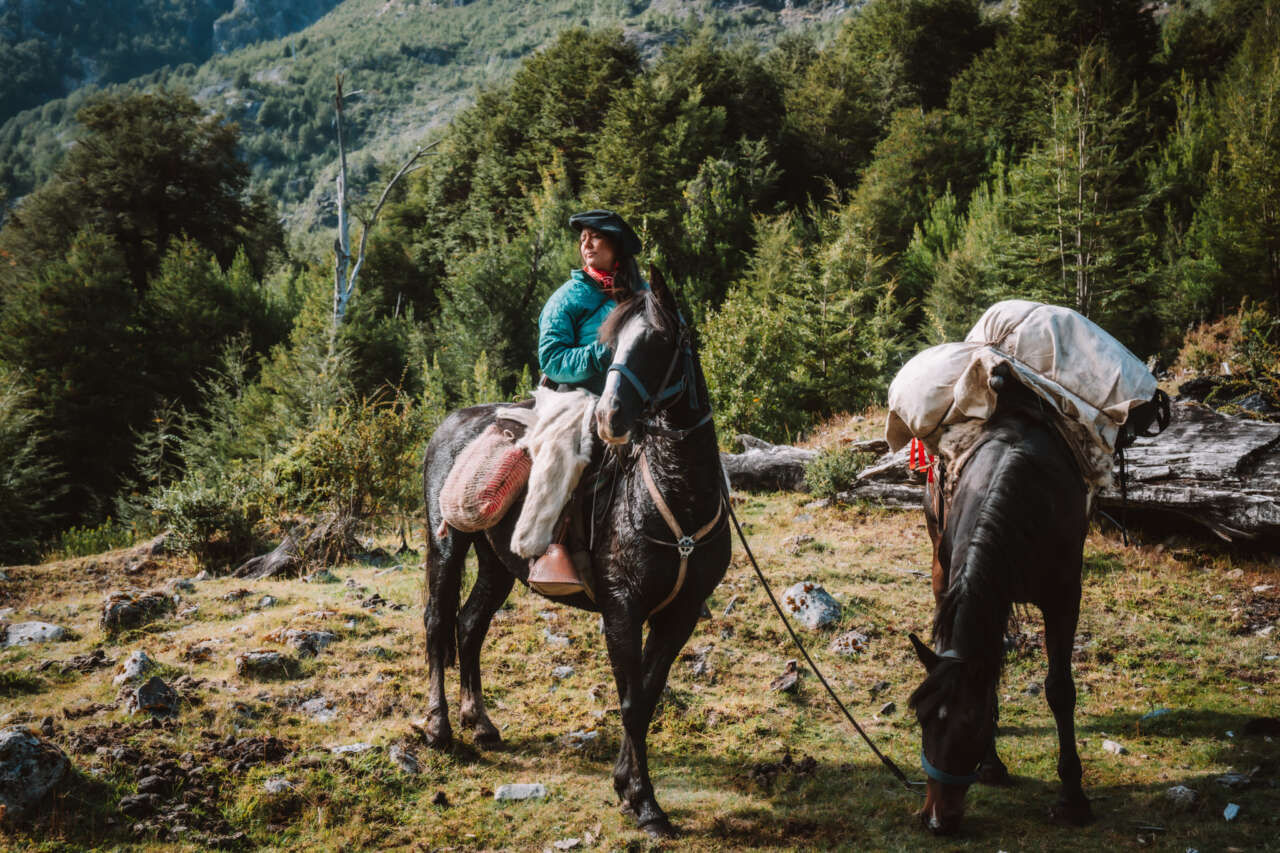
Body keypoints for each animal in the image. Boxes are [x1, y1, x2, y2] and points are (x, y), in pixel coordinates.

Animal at [418, 272, 730, 839]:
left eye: (658, 341)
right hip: (446, 543)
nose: (609, 416)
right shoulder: (622, 609)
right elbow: (630, 701)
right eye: (612, 343)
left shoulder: (680, 613)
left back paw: (482, 723)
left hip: (498, 563)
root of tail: (449, 423)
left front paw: (629, 789)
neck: (672, 493)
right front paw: (644, 802)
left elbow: (647, 695)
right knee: (437, 622)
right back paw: (439, 728)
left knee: (470, 625)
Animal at [907, 363, 1093, 835]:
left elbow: (1059, 689)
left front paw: (1072, 798)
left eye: (968, 726)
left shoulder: (1064, 597)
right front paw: (992, 766)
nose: (936, 820)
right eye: (920, 718)